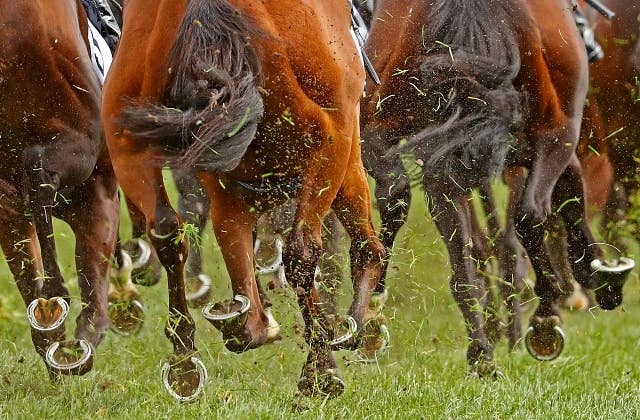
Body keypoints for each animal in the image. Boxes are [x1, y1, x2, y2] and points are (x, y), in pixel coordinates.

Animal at [361, 0, 632, 375]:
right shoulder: (557, 136)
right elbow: (564, 202)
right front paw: (596, 277)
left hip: (408, 138)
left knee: (414, 210)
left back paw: (479, 352)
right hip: (552, 132)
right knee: (530, 214)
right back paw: (541, 320)